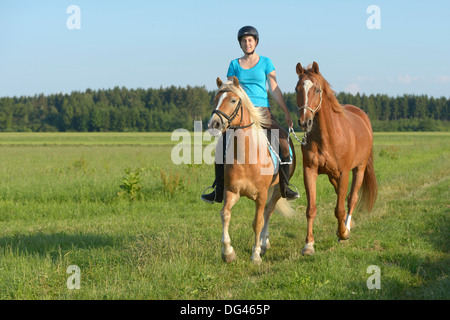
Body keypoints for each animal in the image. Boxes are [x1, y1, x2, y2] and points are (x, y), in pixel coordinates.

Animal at [207, 76, 298, 264]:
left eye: (233, 100)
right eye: (215, 99)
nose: (214, 123)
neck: (246, 158)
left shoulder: (262, 194)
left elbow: (257, 222)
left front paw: (255, 255)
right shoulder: (231, 192)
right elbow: (225, 214)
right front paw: (228, 253)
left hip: (278, 189)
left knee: (268, 211)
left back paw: (263, 244)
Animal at [294, 62, 378, 255]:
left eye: (317, 90)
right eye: (297, 89)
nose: (305, 122)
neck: (327, 137)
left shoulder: (344, 173)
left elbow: (339, 209)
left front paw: (343, 233)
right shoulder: (310, 172)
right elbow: (311, 209)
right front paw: (308, 244)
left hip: (359, 169)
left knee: (351, 198)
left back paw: (346, 227)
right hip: (333, 176)